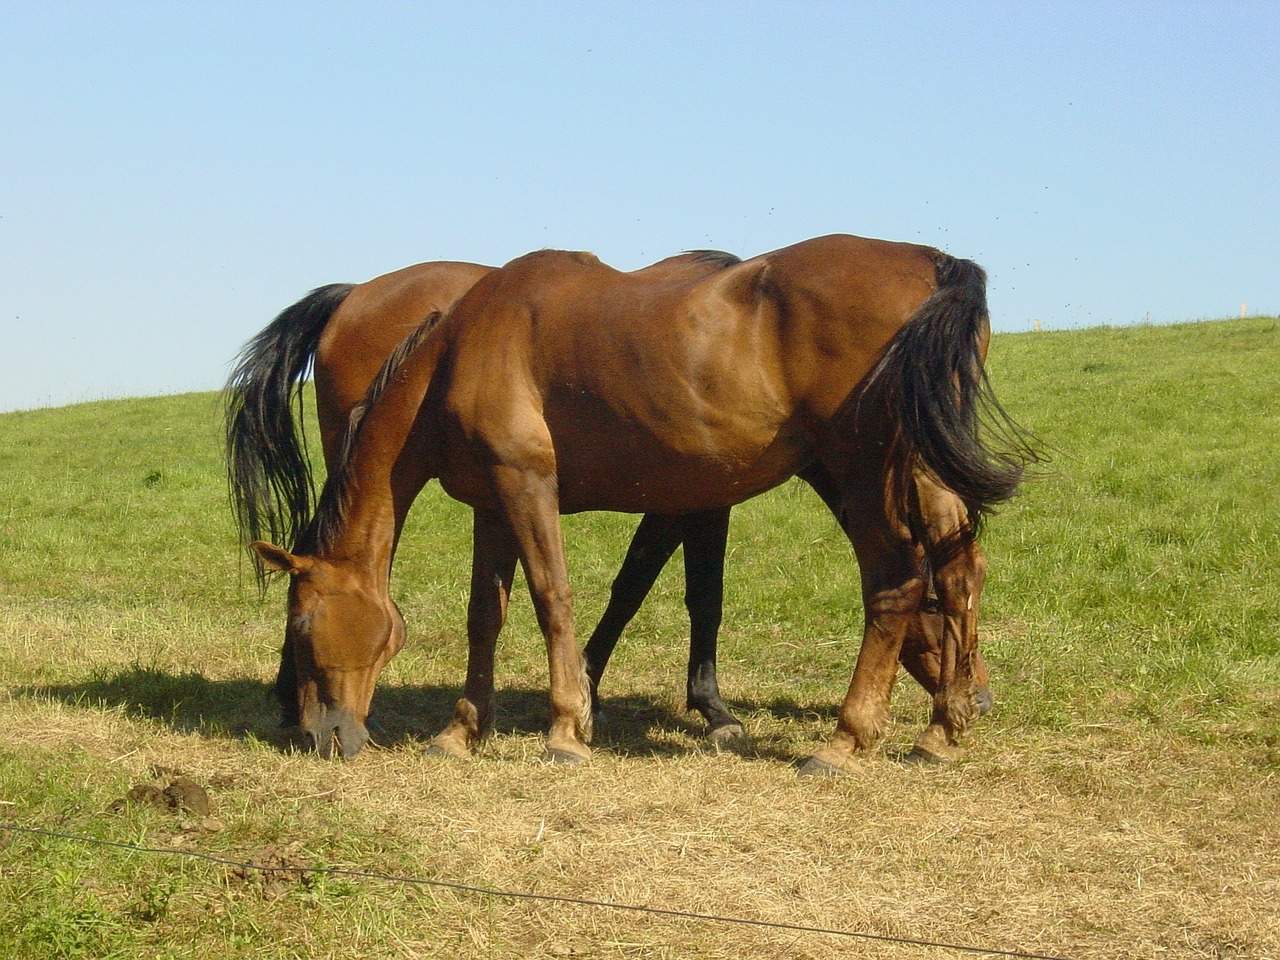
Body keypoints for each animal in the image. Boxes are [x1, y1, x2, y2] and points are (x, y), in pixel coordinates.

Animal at [247, 236, 1029, 778]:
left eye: (303, 624)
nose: (325, 736)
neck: (458, 348)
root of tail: (933, 264)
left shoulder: (529, 486)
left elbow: (556, 598)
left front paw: (568, 728)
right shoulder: (493, 504)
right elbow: (485, 617)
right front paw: (462, 730)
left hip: (866, 476)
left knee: (898, 583)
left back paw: (847, 739)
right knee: (951, 566)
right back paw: (938, 728)